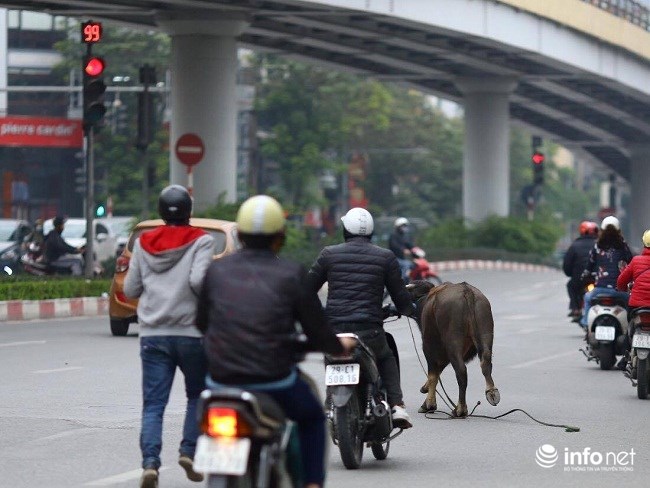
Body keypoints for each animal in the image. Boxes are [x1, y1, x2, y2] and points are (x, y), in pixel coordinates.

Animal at [404, 280, 502, 418]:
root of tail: (467, 291)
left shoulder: (429, 348)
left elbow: (433, 374)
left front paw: (429, 404)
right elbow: (437, 372)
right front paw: (425, 390)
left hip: (452, 342)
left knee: (461, 371)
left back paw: (460, 409)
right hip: (485, 332)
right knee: (486, 361)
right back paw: (491, 392)